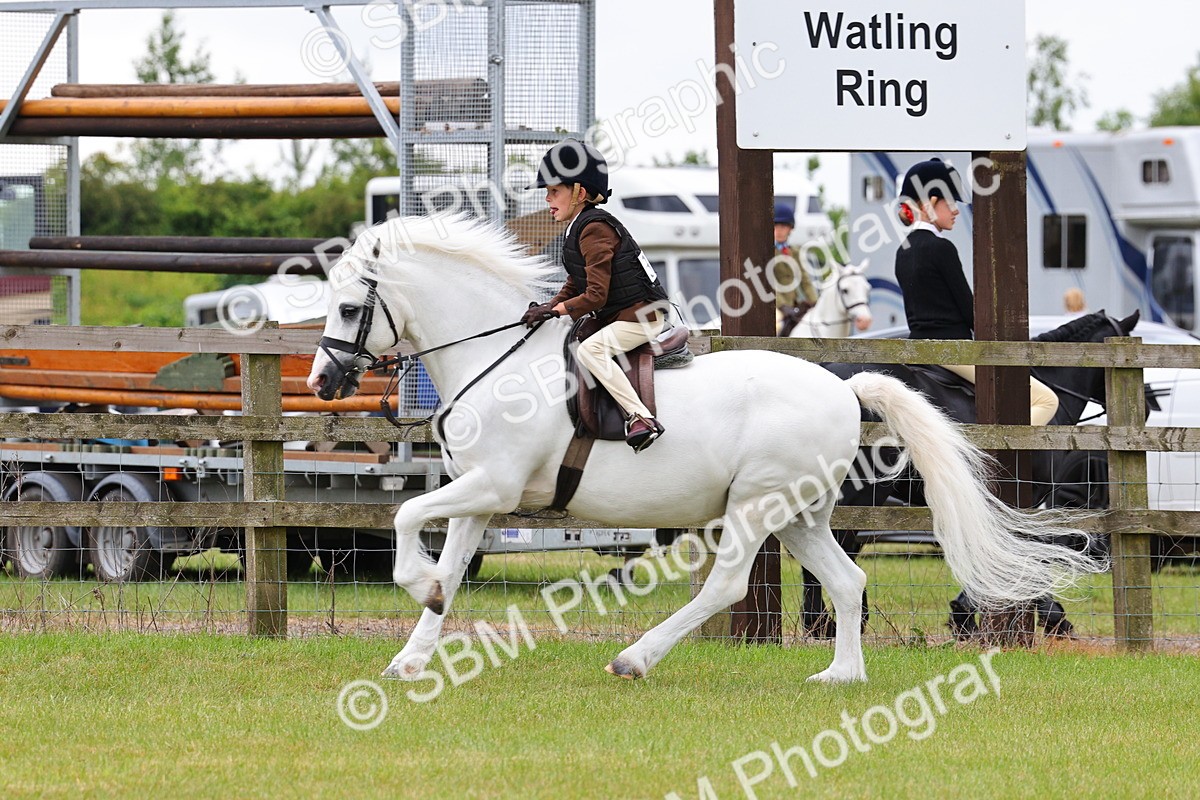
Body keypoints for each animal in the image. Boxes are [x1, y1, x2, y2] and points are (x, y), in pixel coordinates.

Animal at [306, 214, 1103, 684]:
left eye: (348, 307)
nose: (322, 382)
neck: (497, 359)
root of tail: (845, 389)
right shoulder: (480, 496)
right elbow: (445, 562)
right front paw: (412, 652)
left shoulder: (492, 488)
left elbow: (405, 520)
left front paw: (416, 589)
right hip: (798, 514)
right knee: (847, 582)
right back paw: (840, 676)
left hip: (754, 508)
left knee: (724, 587)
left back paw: (636, 658)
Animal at [800, 309, 1140, 639]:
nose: (1148, 403)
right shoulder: (1028, 497)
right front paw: (1048, 615)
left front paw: (965, 616)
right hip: (862, 491)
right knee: (837, 545)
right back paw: (830, 623)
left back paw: (827, 623)